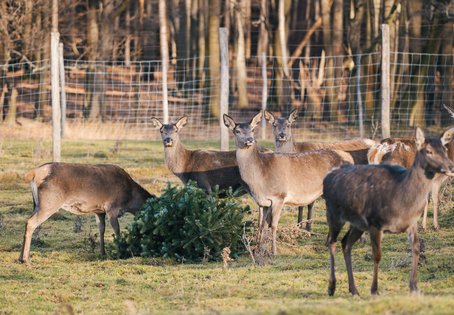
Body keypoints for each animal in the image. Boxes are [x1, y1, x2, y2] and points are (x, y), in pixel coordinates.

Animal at [18, 163, 153, 264]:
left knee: (27, 221)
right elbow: (117, 230)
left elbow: (101, 229)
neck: (129, 198)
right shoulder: (112, 208)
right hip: (49, 202)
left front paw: (102, 252)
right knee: (31, 222)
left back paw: (20, 257)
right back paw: (26, 259)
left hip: (36, 204)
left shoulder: (99, 211)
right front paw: (120, 252)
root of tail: (35, 173)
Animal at [223, 112, 354, 256]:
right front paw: (259, 250)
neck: (260, 180)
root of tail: (350, 158)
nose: (250, 140)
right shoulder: (263, 202)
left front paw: (273, 251)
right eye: (237, 131)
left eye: (252, 130)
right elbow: (262, 224)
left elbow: (273, 225)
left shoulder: (279, 196)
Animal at [322, 128, 454, 296]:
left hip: (357, 224)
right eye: (429, 151)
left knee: (345, 243)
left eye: (444, 149)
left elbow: (416, 249)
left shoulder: (411, 223)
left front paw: (414, 287)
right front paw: (374, 290)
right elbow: (377, 255)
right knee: (331, 242)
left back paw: (354, 289)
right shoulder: (375, 223)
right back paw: (331, 287)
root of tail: (327, 177)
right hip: (333, 214)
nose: (451, 167)